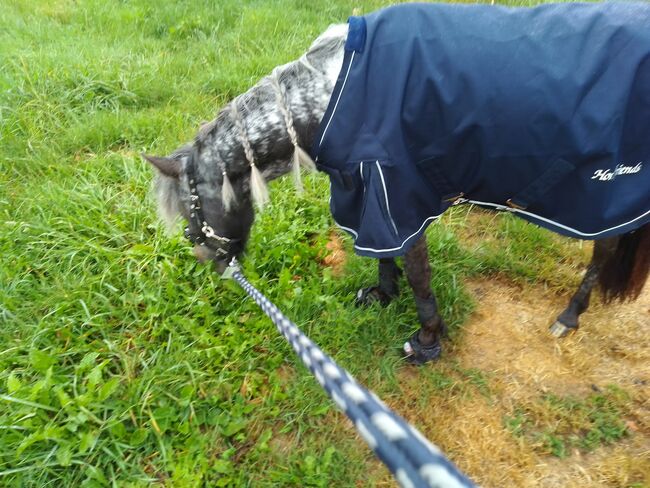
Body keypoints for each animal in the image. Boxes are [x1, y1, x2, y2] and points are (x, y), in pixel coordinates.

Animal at [144, 2, 644, 362]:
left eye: (189, 217)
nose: (215, 266)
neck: (334, 94)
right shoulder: (367, 194)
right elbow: (383, 256)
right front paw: (382, 295)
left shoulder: (401, 198)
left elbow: (418, 273)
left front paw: (427, 340)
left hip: (598, 197)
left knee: (605, 250)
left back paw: (569, 316)